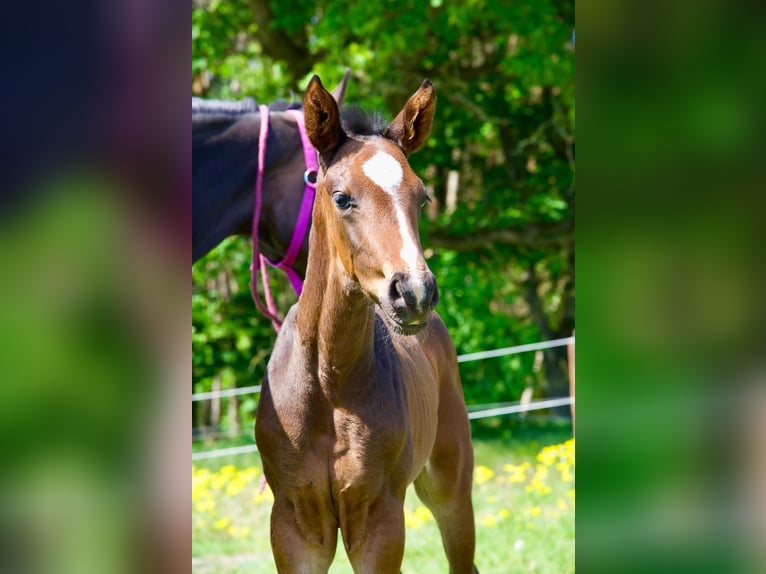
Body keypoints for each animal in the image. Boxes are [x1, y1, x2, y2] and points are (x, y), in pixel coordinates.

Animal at [258, 76, 480, 574]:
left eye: (422, 197)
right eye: (342, 198)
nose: (415, 293)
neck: (328, 385)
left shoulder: (378, 518)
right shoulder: (295, 523)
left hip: (450, 486)